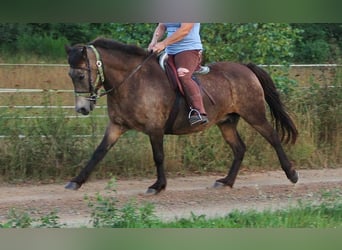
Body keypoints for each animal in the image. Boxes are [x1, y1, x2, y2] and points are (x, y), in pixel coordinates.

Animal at [65, 37, 300, 194]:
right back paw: (226, 181)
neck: (132, 81)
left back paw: (291, 174)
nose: (82, 109)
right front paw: (76, 181)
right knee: (239, 148)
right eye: (70, 75)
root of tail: (246, 67)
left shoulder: (155, 128)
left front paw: (158, 186)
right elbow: (98, 152)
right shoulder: (116, 126)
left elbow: (158, 156)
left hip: (255, 114)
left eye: (80, 75)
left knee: (273, 137)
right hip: (226, 122)